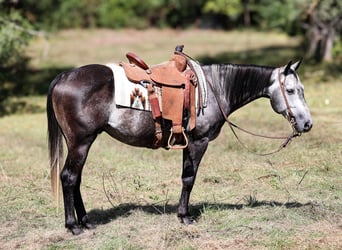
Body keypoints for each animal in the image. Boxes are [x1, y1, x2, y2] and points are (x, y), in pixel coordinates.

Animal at [47, 59, 312, 234]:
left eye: (302, 90)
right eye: (290, 90)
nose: (307, 123)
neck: (214, 88)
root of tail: (64, 76)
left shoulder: (188, 143)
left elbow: (187, 177)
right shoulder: (198, 142)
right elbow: (189, 178)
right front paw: (185, 216)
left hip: (79, 143)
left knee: (75, 179)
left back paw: (85, 221)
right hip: (81, 142)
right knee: (69, 177)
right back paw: (73, 226)